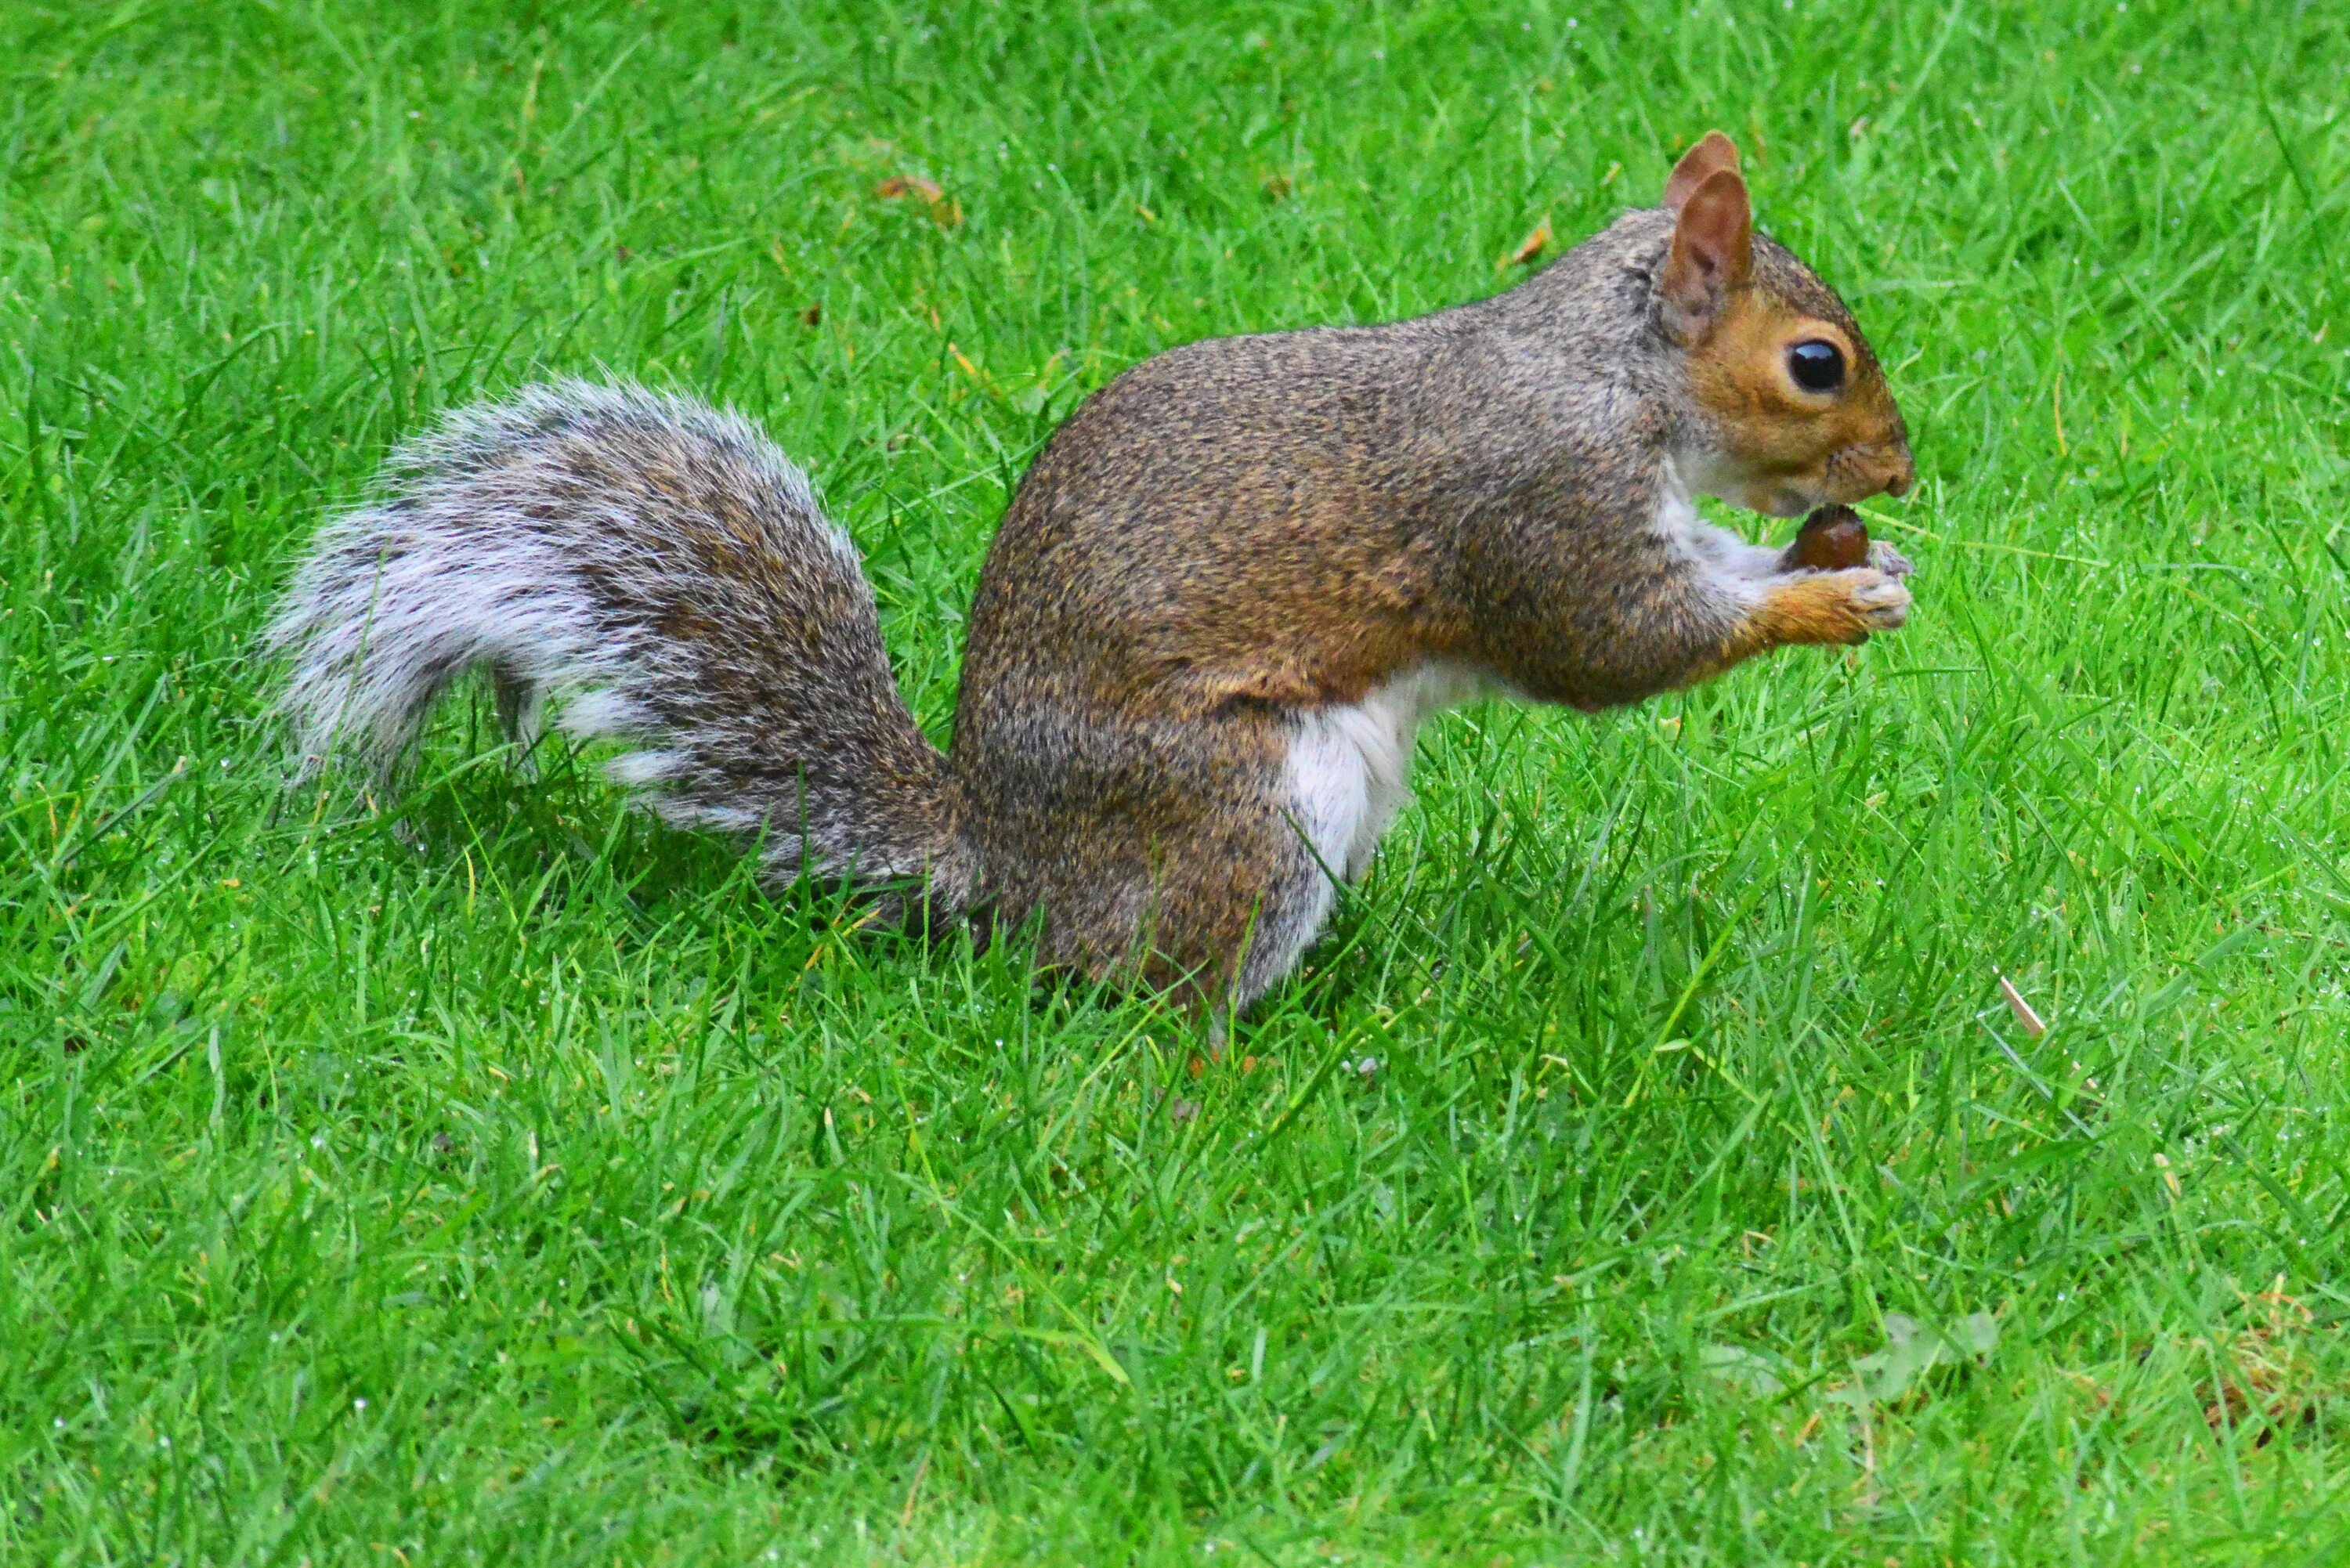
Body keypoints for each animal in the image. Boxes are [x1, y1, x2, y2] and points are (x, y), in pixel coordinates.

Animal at [270, 135, 1908, 1020]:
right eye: (1814, 365)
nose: (1897, 468)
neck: (1605, 374)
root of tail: (1005, 859)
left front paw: (1844, 555)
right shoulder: (1540, 514)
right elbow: (1618, 646)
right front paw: (1833, 597)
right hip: (1246, 797)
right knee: (1140, 990)